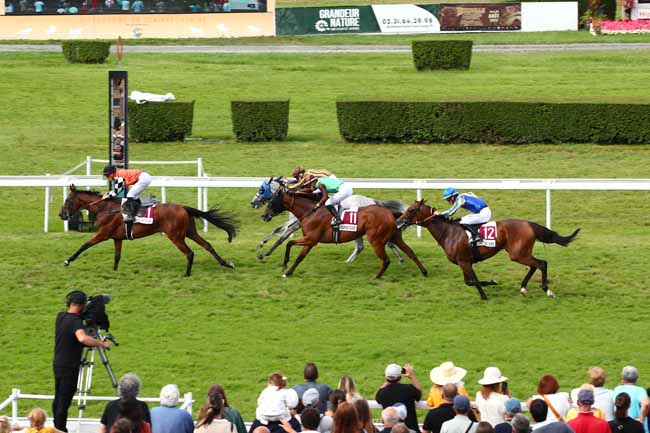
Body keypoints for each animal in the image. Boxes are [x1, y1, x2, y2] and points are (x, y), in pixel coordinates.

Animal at [59, 185, 237, 277]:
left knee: (190, 253)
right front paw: (114, 271)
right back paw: (227, 264)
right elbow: (117, 256)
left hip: (176, 236)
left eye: (67, 200)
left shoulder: (103, 234)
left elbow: (84, 246)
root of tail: (183, 207)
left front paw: (67, 261)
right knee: (207, 245)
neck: (106, 209)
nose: (61, 215)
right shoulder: (117, 238)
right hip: (190, 232)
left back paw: (187, 273)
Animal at [251, 176, 405, 264]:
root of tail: (373, 201)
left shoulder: (296, 224)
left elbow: (280, 238)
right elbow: (277, 230)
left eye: (261, 190)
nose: (253, 203)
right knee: (363, 246)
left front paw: (263, 253)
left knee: (384, 242)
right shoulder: (296, 223)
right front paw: (261, 245)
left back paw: (399, 258)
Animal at [262, 183, 428, 279]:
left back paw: (377, 276)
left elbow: (288, 242)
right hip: (394, 236)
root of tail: (387, 212)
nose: (264, 216)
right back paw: (424, 272)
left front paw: (283, 265)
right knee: (410, 252)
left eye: (271, 201)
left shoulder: (311, 239)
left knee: (385, 259)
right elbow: (299, 256)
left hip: (375, 239)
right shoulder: (310, 241)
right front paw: (288, 271)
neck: (310, 211)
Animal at [397, 200, 580, 300]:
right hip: (521, 252)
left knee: (542, 264)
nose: (398, 221)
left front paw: (492, 282)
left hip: (517, 254)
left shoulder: (464, 261)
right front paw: (484, 295)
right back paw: (523, 288)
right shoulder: (466, 262)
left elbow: (471, 281)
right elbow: (472, 281)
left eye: (411, 210)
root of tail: (529, 224)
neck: (449, 232)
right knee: (536, 265)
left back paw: (547, 291)